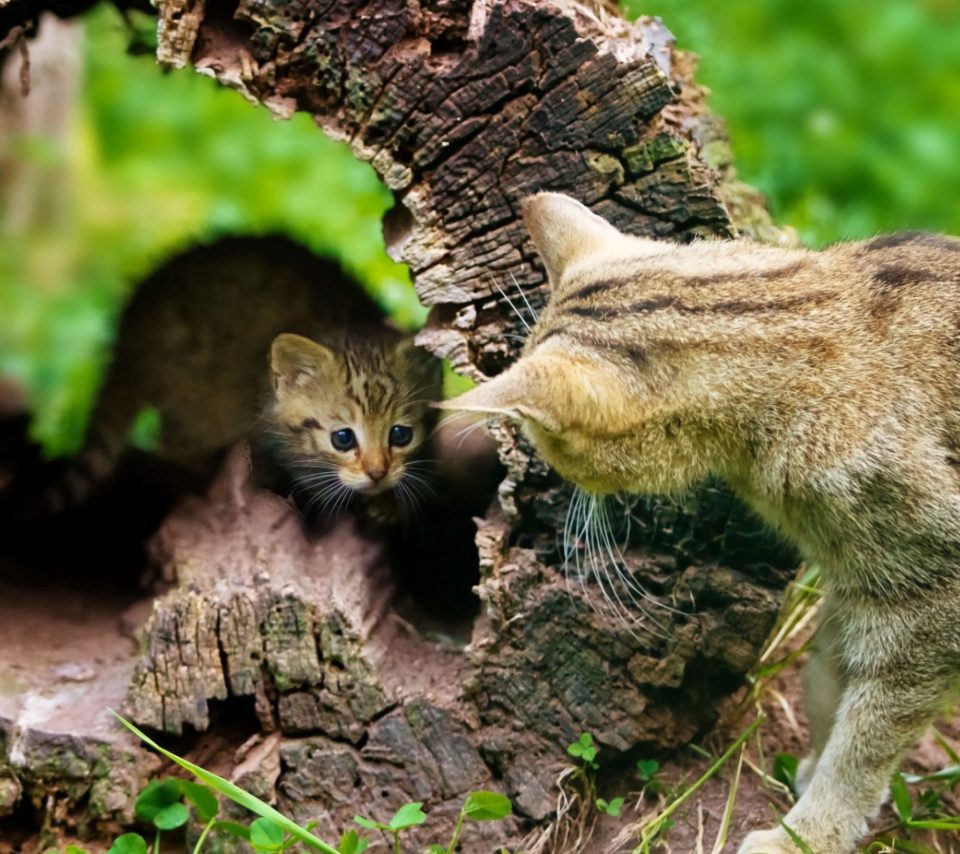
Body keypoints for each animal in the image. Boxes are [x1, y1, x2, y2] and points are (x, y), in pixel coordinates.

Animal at [446, 192, 960, 854]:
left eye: (548, 440)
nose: (548, 475)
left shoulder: (924, 606)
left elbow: (864, 743)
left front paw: (807, 836)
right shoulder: (859, 583)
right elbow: (827, 680)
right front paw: (811, 777)